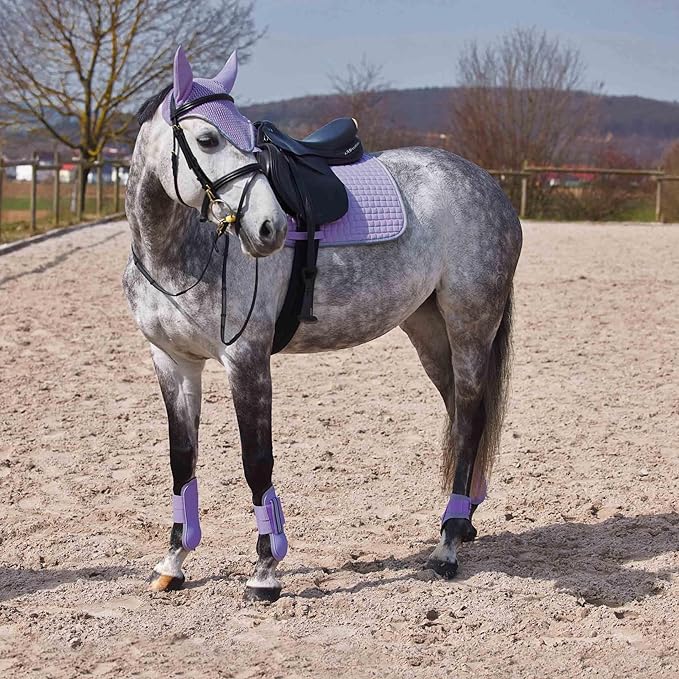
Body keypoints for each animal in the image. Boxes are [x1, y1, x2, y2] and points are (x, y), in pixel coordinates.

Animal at [123, 46, 522, 601]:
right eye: (207, 139)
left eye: (251, 139)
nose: (270, 228)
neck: (179, 253)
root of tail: (490, 187)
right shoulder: (173, 363)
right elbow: (182, 460)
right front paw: (174, 561)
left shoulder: (245, 360)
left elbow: (256, 461)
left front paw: (266, 570)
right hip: (430, 333)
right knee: (467, 414)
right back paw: (463, 520)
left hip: (470, 326)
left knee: (467, 421)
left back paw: (447, 546)